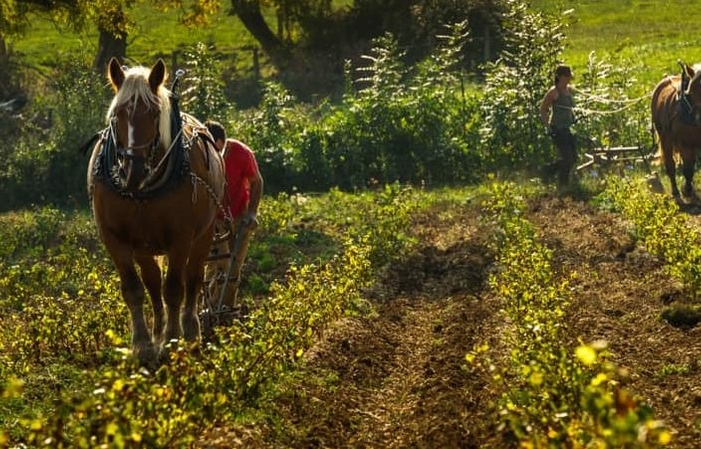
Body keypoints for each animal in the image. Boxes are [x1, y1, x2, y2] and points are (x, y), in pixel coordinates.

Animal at [87, 57, 224, 366]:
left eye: (152, 115)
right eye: (117, 116)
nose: (132, 170)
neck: (142, 190)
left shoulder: (181, 238)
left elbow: (174, 289)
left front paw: (172, 341)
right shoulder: (115, 239)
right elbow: (134, 290)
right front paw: (144, 344)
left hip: (204, 235)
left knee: (193, 279)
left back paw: (190, 331)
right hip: (144, 247)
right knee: (152, 284)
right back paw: (158, 330)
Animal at [648, 61, 700, 198]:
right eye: (691, 91)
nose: (699, 117)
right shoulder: (684, 144)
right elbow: (687, 169)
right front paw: (686, 190)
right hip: (665, 138)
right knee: (671, 165)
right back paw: (676, 190)